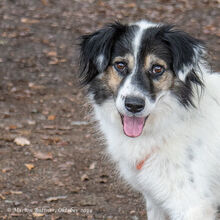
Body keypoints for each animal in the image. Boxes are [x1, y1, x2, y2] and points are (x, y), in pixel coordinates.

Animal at [78, 19, 220, 219]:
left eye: (157, 69)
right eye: (120, 65)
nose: (133, 105)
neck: (171, 125)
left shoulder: (193, 206)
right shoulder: (155, 199)